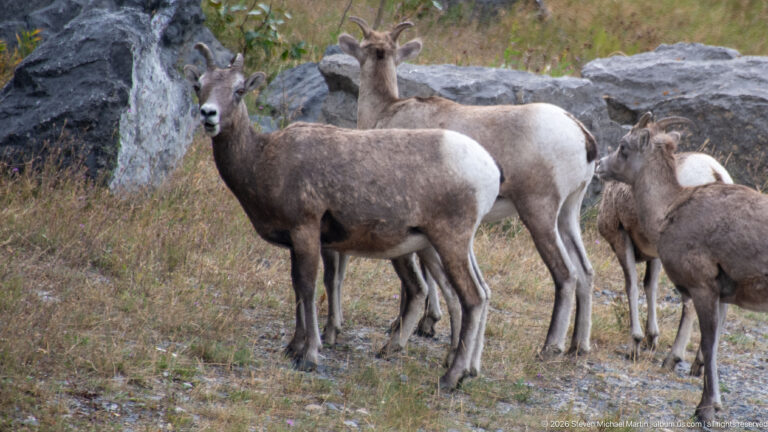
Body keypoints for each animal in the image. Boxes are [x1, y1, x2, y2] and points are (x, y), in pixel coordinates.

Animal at [183, 43, 501, 389]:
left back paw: (450, 378)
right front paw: (293, 347)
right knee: (477, 293)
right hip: (451, 246)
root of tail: (489, 170)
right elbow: (297, 287)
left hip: (448, 242)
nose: (209, 115)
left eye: (239, 90)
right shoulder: (299, 242)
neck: (261, 160)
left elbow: (308, 287)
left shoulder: (306, 230)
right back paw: (465, 369)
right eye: (199, 86)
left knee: (471, 298)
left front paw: (309, 355)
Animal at [331, 17, 598, 361]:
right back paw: (578, 346)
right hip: (568, 214)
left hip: (539, 214)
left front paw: (414, 328)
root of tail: (581, 134)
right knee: (586, 271)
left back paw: (549, 346)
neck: (386, 112)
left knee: (566, 274)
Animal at [598, 117, 733, 366]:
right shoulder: (655, 254)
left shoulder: (621, 238)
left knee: (692, 303)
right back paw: (699, 363)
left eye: (623, 146)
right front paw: (652, 339)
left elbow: (631, 286)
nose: (599, 166)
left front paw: (635, 345)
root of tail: (715, 174)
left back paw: (674, 358)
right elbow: (650, 286)